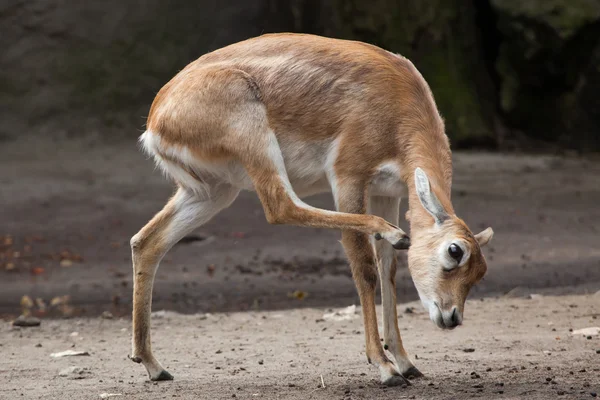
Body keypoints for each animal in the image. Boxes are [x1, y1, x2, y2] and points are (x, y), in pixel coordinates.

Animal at [129, 32, 494, 386]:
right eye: (455, 251)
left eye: (481, 271)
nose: (452, 317)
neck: (397, 96)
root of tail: (156, 116)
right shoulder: (348, 178)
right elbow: (365, 268)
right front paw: (385, 368)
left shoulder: (388, 193)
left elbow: (388, 268)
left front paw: (406, 363)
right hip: (254, 146)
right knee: (281, 206)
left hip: (213, 191)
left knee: (146, 242)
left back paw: (153, 366)